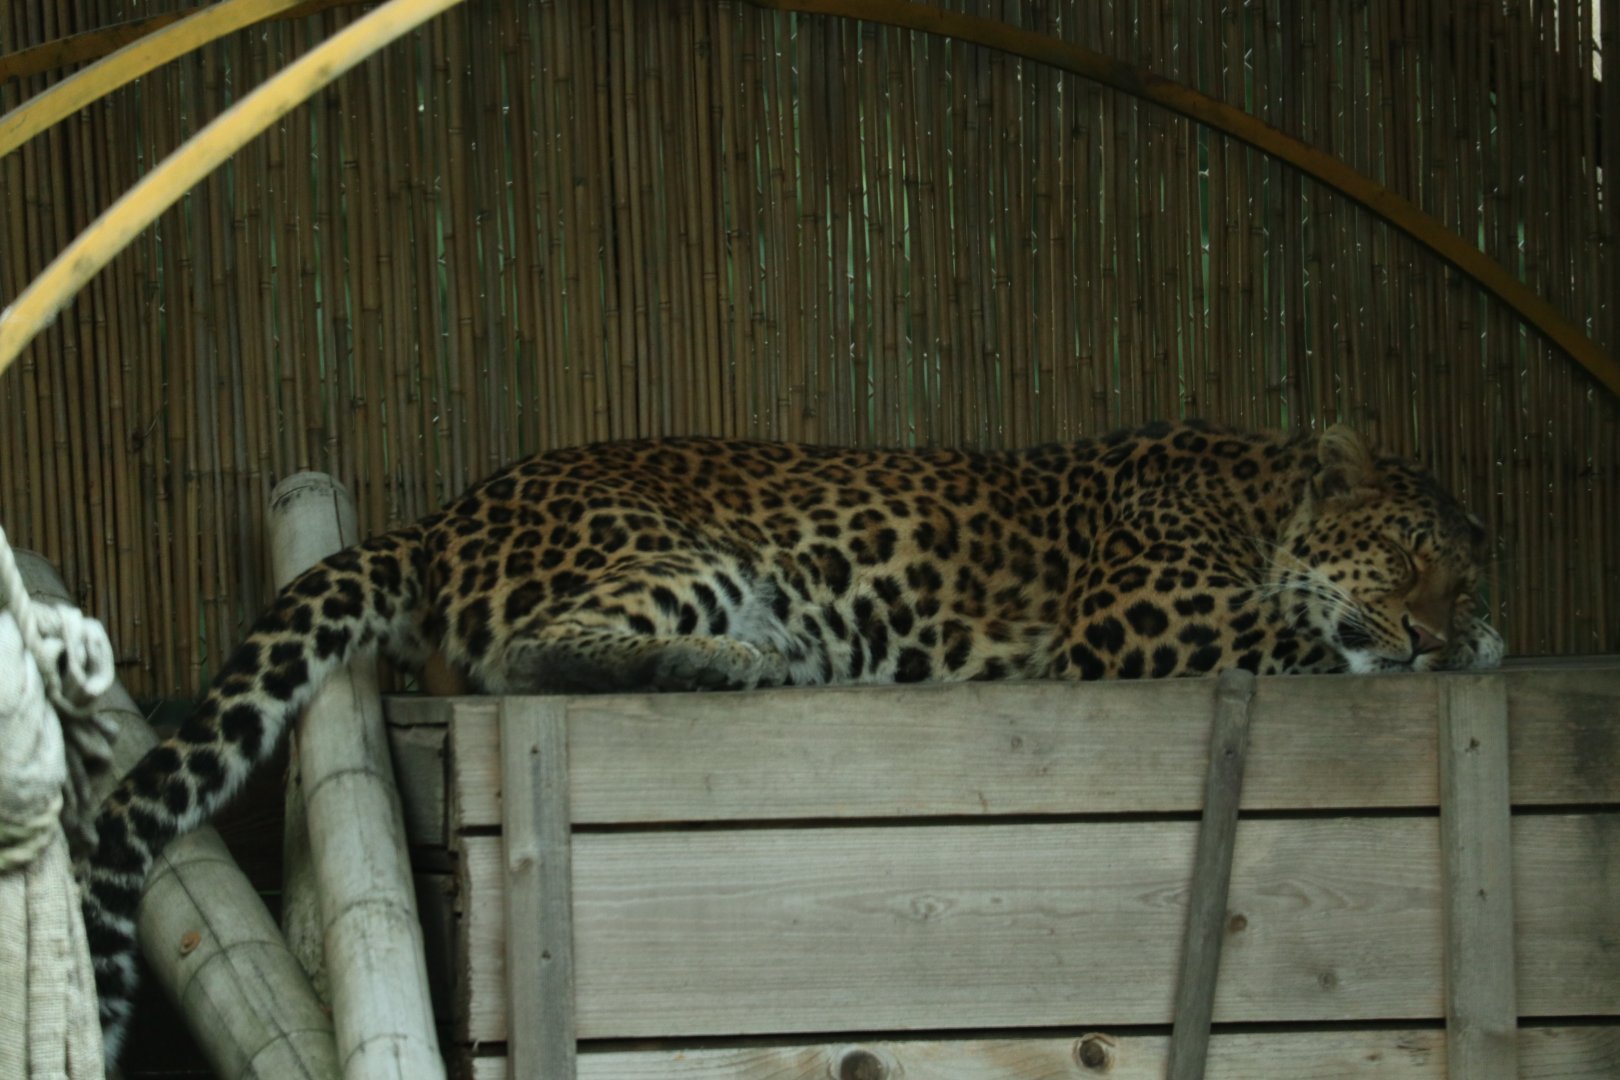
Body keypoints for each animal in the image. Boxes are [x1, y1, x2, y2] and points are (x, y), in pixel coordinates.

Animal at [82, 419, 1502, 1060]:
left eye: (1460, 567)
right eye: (1406, 556)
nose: (1441, 630)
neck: (1252, 491)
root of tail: (446, 514)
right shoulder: (1145, 622)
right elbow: (1304, 633)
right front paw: (1459, 650)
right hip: (681, 556)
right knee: (538, 654)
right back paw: (747, 662)